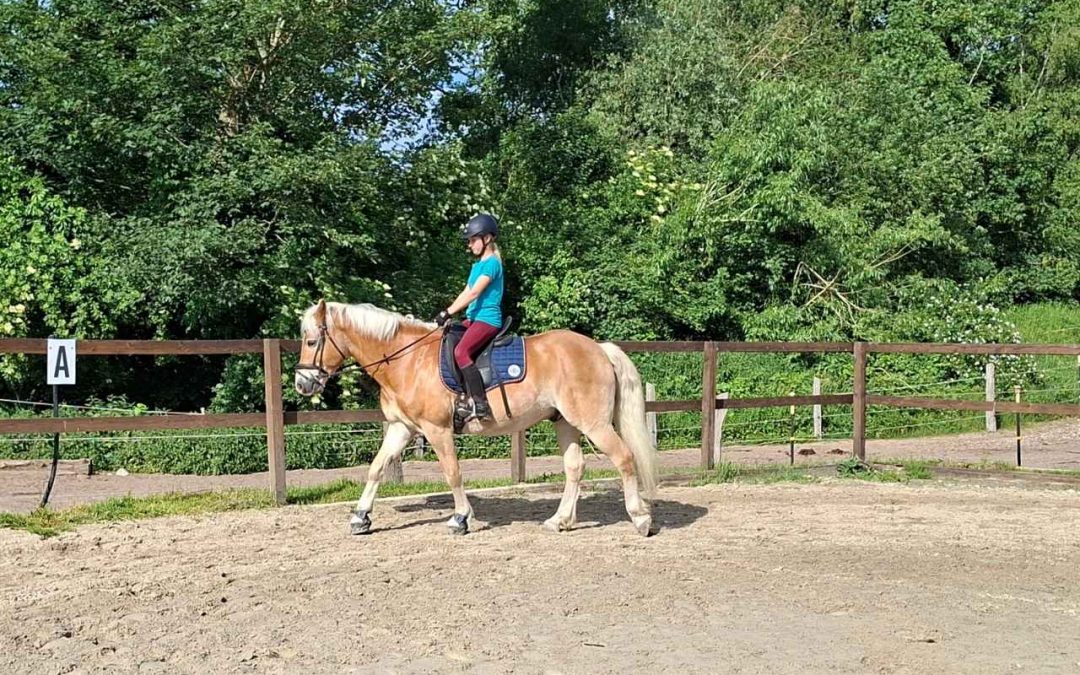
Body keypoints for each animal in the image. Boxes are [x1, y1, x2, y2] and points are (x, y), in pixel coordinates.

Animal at [293, 300, 658, 536]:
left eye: (311, 341)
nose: (302, 383)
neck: (407, 360)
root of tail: (599, 349)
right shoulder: (402, 428)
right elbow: (376, 468)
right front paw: (361, 517)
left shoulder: (437, 430)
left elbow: (453, 473)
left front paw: (460, 518)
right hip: (566, 422)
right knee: (575, 468)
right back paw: (560, 520)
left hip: (593, 424)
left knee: (624, 458)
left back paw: (641, 519)